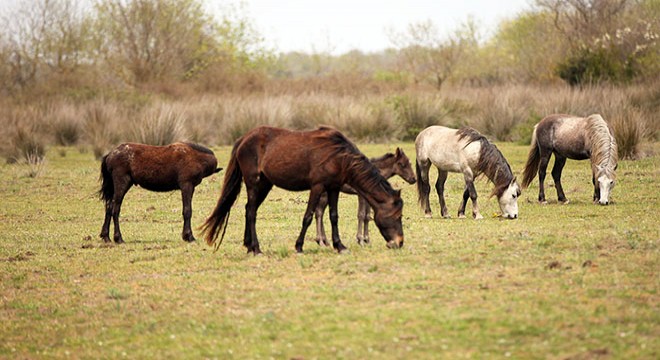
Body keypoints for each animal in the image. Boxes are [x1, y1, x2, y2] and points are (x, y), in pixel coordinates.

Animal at [204, 125, 404, 255]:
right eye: (397, 216)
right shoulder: (317, 187)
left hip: (265, 184)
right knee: (252, 212)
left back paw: (249, 246)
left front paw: (339, 246)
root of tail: (244, 138)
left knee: (248, 210)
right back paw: (257, 248)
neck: (339, 156)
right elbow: (308, 216)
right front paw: (299, 246)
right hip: (253, 183)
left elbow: (333, 216)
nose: (399, 242)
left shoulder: (333, 188)